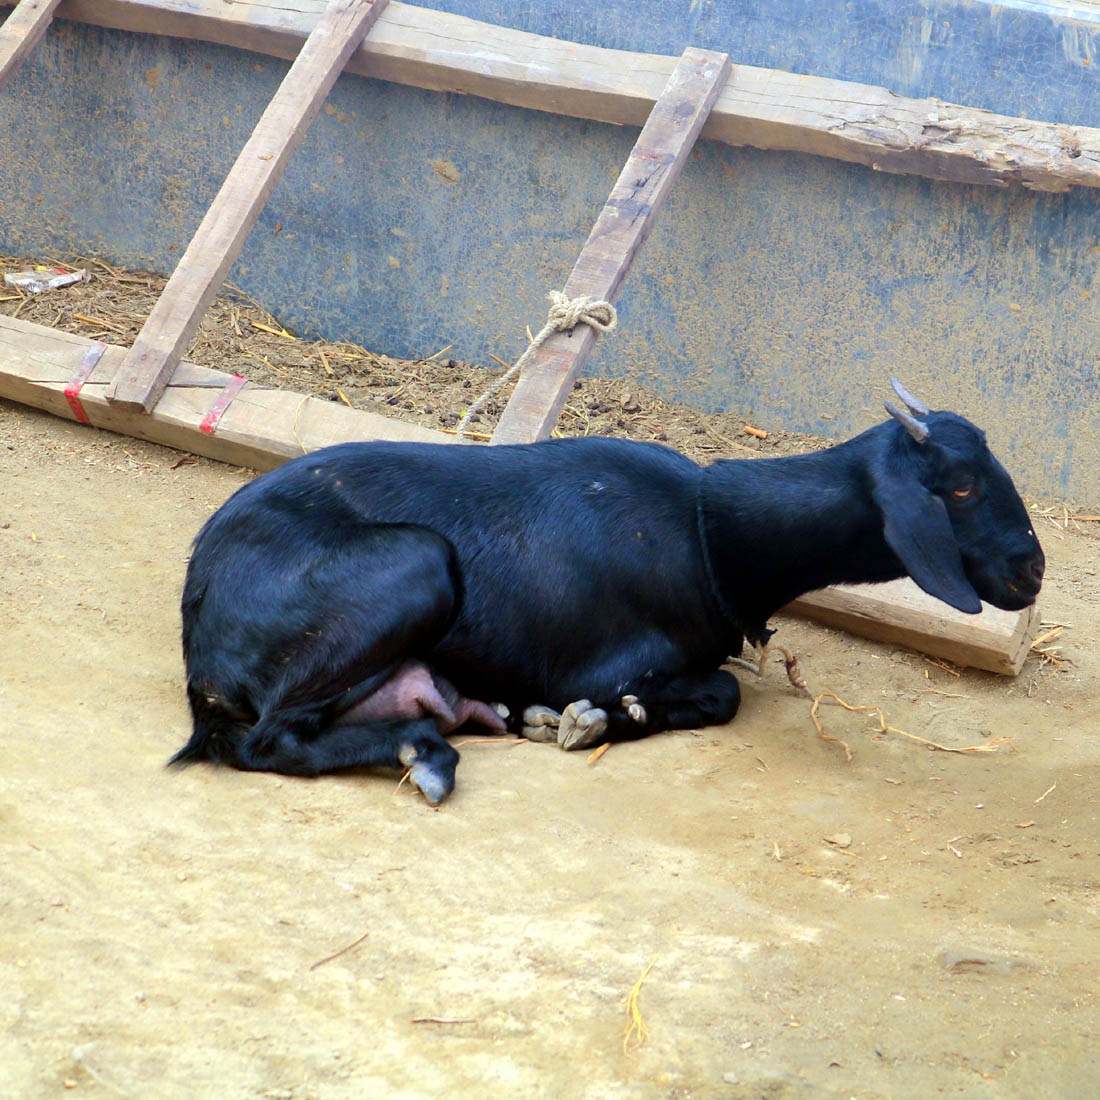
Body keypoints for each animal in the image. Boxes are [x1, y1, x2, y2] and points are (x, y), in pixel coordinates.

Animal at [169, 382, 1038, 805]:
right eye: (960, 487)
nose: (1031, 571)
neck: (708, 529)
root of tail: (201, 631)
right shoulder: (609, 660)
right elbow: (721, 693)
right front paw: (596, 720)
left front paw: (574, 719)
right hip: (415, 562)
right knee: (260, 742)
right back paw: (430, 756)